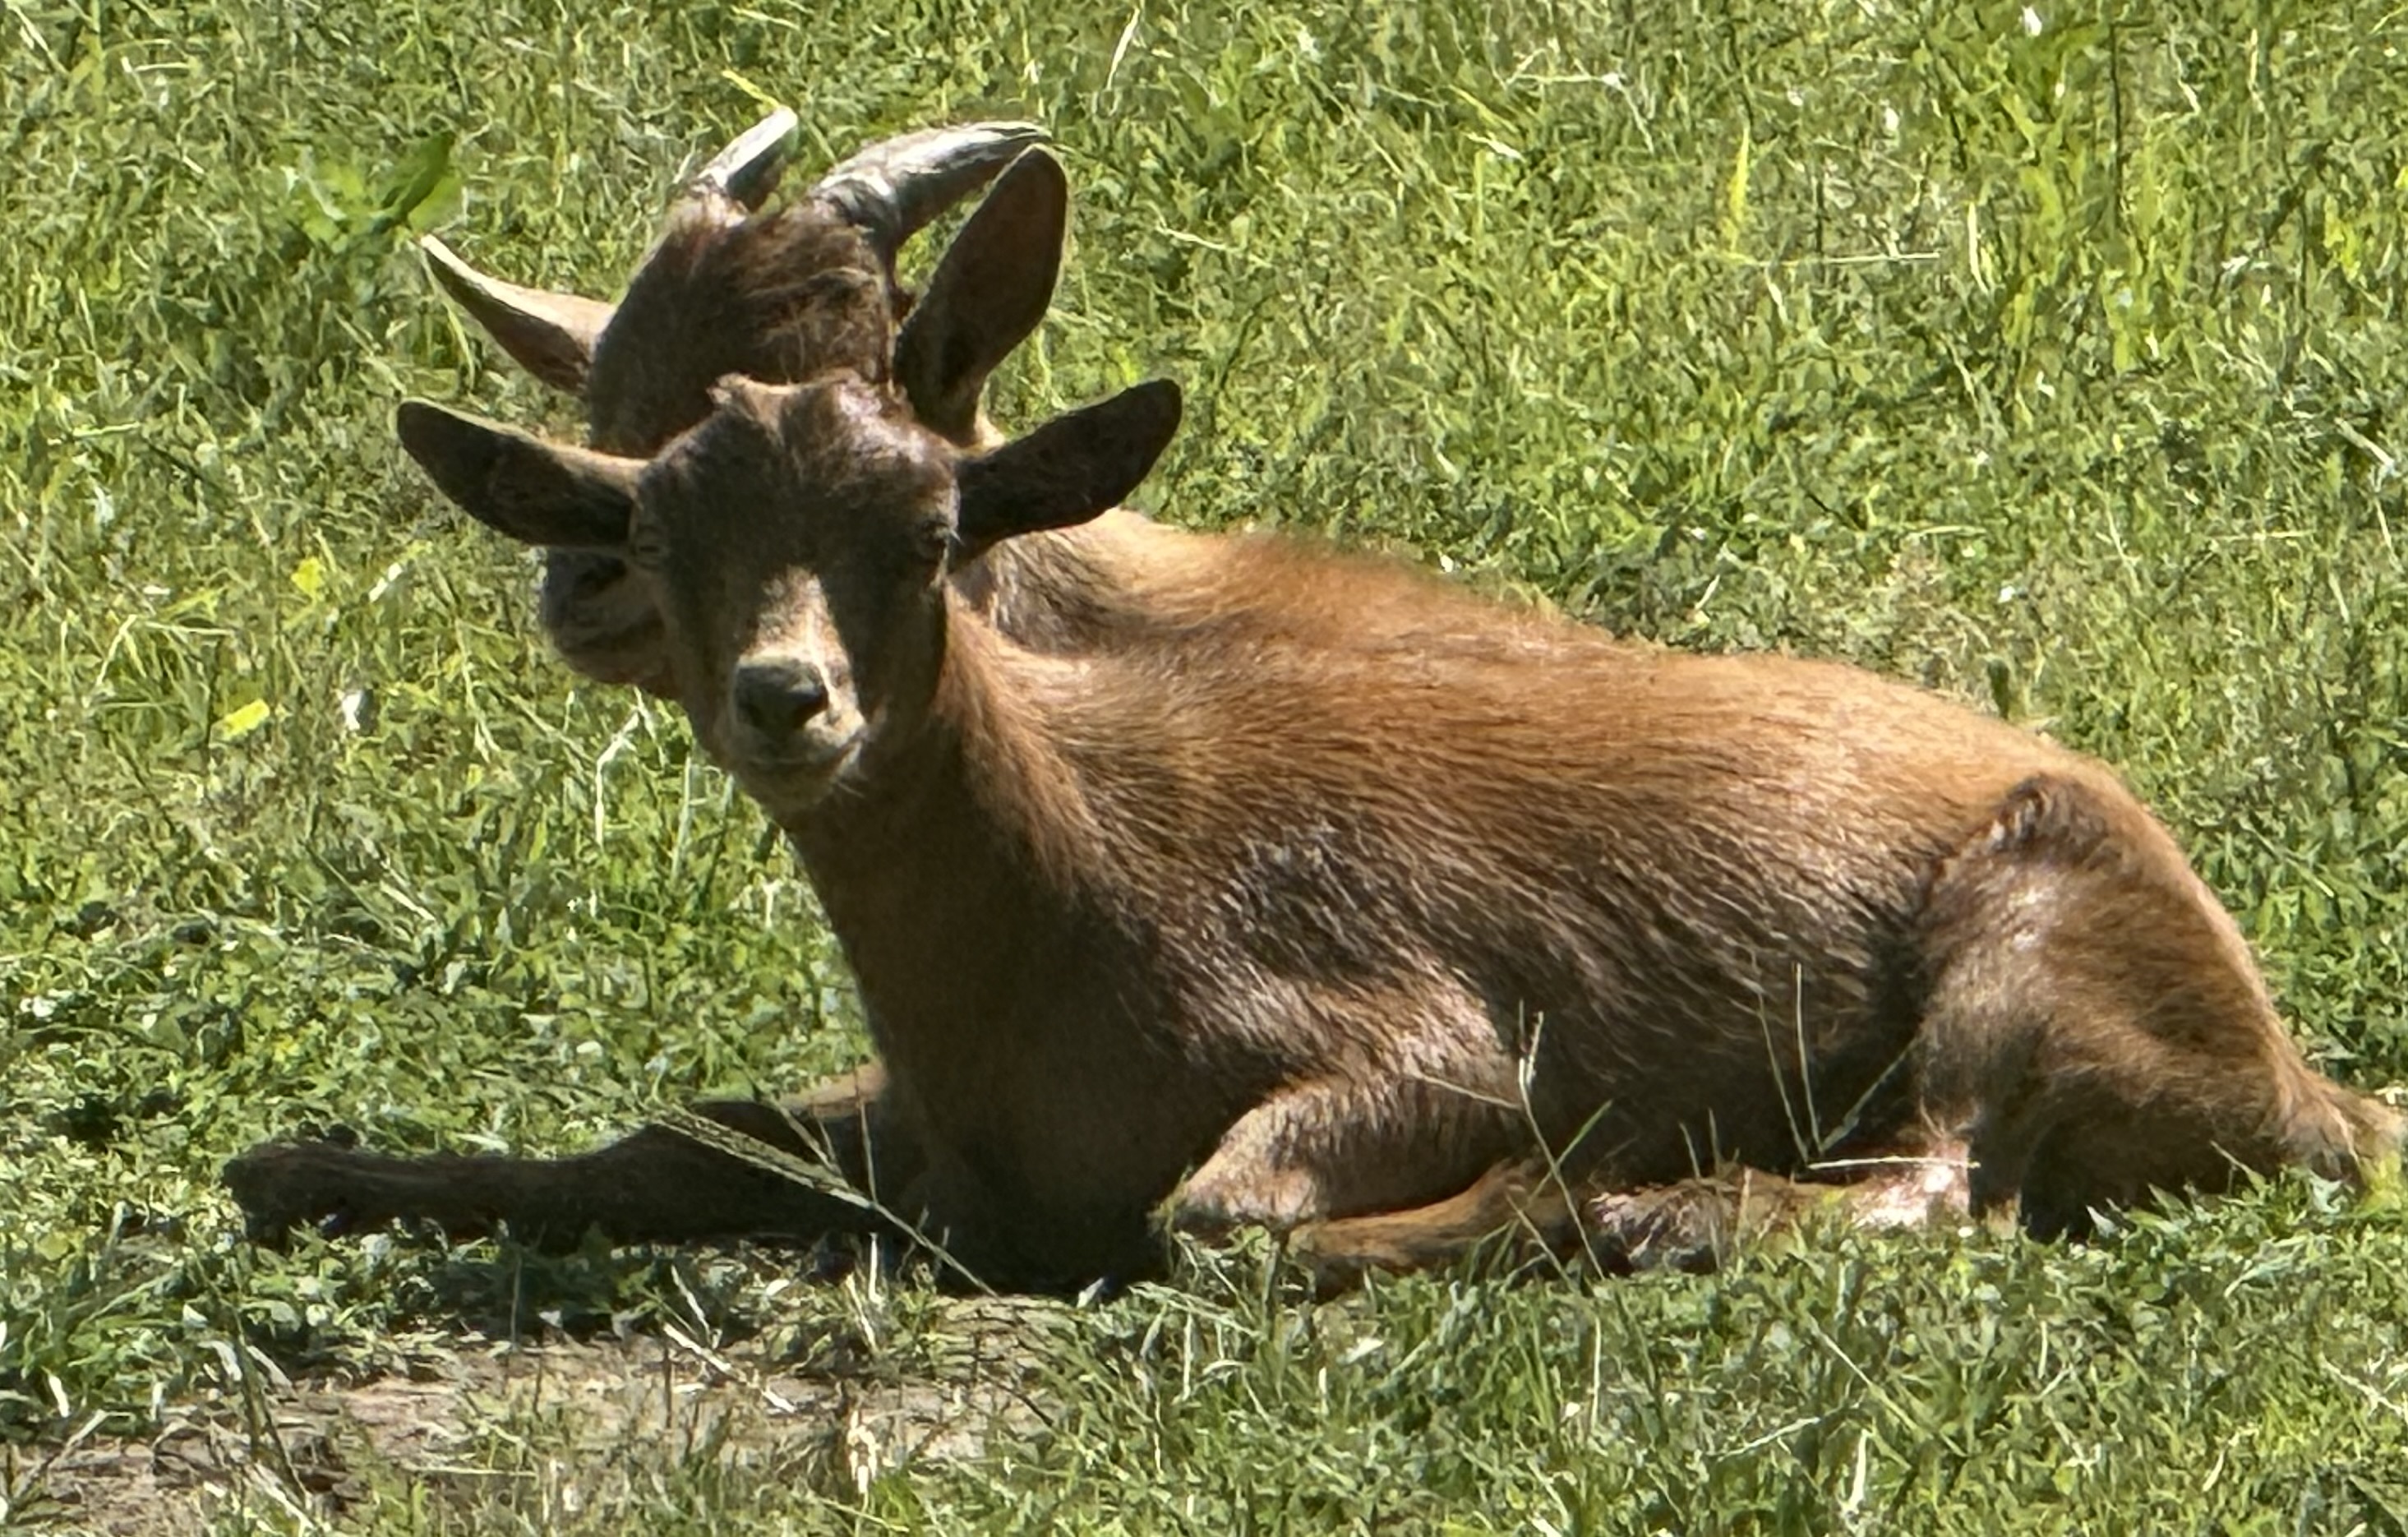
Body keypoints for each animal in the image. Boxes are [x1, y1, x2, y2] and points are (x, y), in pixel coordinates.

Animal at [228, 359, 2401, 1292]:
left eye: (928, 534)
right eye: (657, 540)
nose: (788, 700)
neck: (1060, 911)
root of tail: (2300, 1081)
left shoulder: (1404, 1015)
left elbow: (1217, 1215)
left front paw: (1539, 1188)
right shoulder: (905, 1122)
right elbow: (674, 1137)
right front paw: (313, 1163)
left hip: (2027, 922)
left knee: (1944, 1181)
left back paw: (1641, 1208)